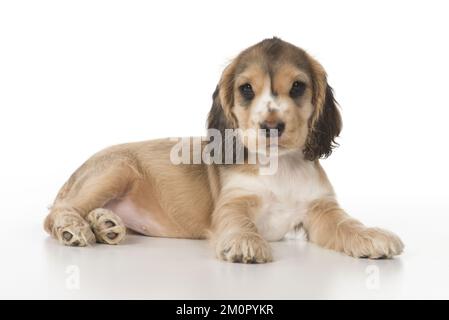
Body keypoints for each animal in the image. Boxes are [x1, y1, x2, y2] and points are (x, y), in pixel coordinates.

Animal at [43, 37, 404, 262]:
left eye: (298, 86)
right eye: (246, 89)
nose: (272, 126)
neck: (279, 167)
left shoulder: (321, 210)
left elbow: (347, 224)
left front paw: (372, 235)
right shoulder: (234, 203)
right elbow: (241, 223)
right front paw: (247, 243)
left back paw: (106, 225)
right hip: (117, 170)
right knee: (54, 215)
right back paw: (76, 229)